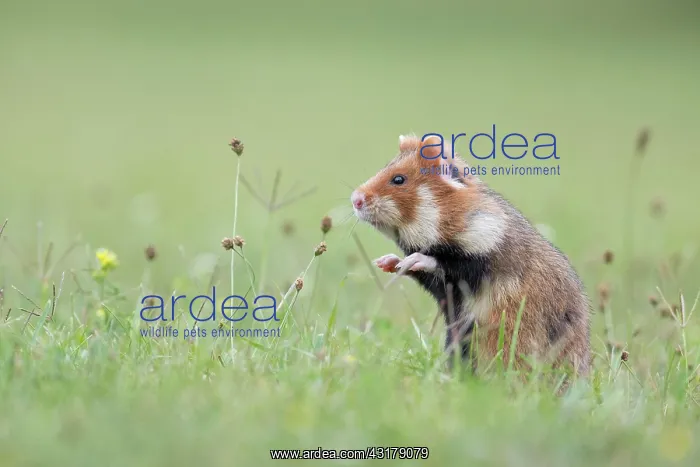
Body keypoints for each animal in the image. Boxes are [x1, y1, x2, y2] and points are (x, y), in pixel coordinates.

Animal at [350, 134, 591, 377]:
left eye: (398, 179)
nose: (355, 199)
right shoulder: (445, 292)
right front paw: (387, 262)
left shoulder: (483, 260)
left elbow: (444, 262)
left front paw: (414, 259)